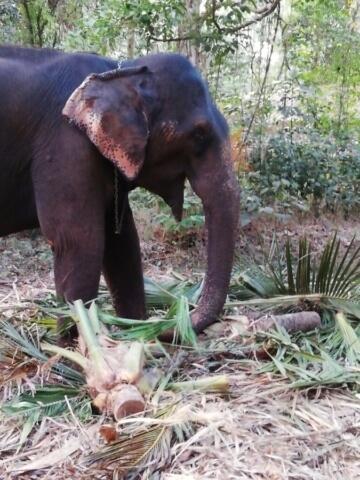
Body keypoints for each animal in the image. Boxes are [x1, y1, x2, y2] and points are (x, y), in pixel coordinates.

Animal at [0, 45, 242, 338]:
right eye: (199, 134)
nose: (171, 319)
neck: (120, 70)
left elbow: (123, 242)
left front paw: (135, 332)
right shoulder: (66, 142)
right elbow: (78, 242)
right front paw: (72, 345)